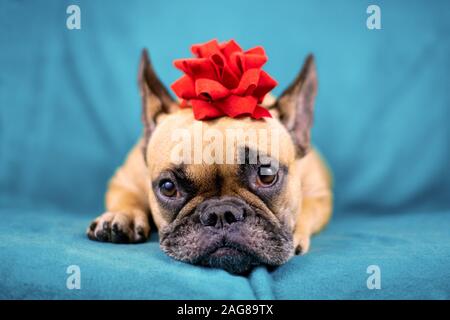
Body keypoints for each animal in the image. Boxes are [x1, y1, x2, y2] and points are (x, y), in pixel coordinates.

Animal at [86, 48, 332, 274]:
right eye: (168, 187)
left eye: (266, 176)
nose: (221, 214)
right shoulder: (125, 179)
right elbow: (127, 195)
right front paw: (123, 215)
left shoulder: (319, 193)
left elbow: (308, 208)